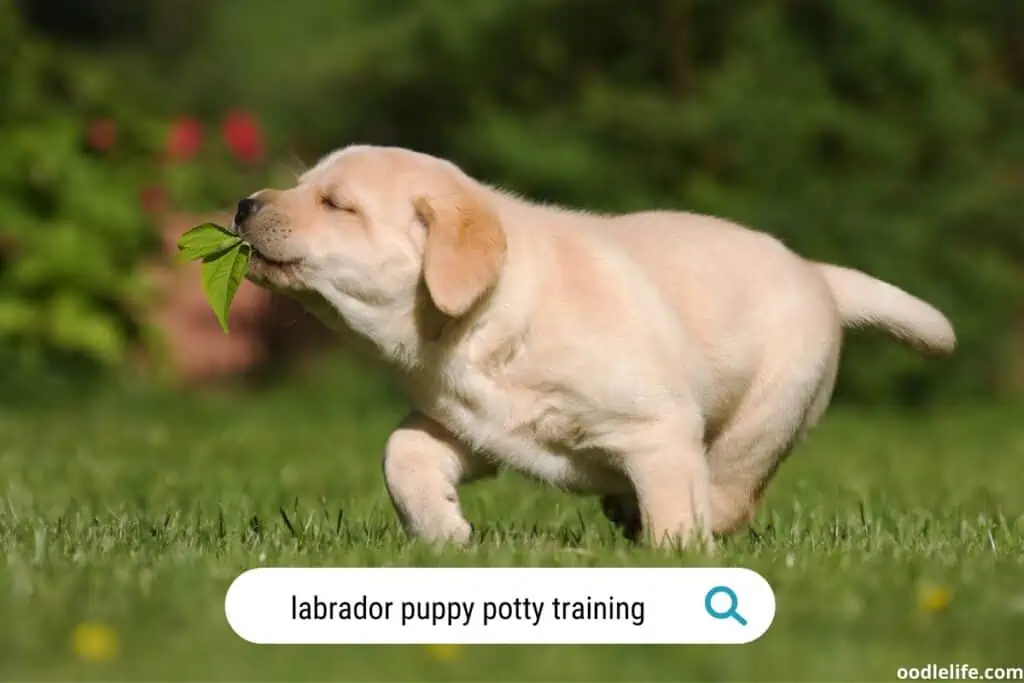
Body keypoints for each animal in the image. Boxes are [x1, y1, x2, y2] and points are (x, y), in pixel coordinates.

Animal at [235, 145, 954, 548]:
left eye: (337, 204)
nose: (243, 204)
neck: (487, 321)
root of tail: (816, 273)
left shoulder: (658, 426)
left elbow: (674, 505)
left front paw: (675, 555)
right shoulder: (472, 423)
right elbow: (402, 453)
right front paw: (444, 533)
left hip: (772, 404)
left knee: (731, 482)